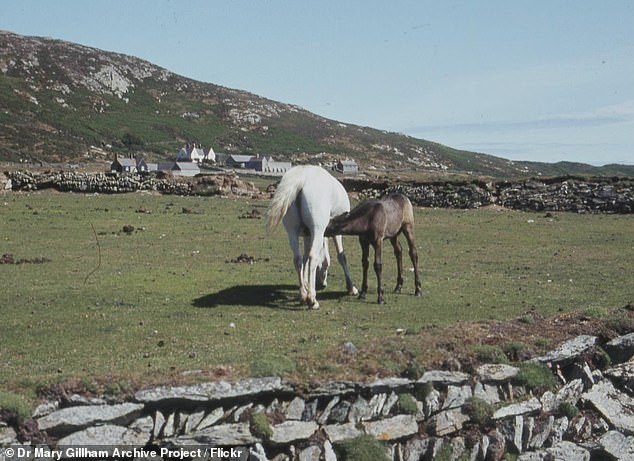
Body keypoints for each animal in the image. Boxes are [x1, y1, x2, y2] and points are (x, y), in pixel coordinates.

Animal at [264, 165, 358, 310]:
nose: (322, 283)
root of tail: (302, 177)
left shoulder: (308, 235)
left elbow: (305, 258)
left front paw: (307, 285)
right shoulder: (335, 232)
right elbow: (340, 256)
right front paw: (351, 287)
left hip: (292, 231)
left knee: (297, 260)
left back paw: (303, 295)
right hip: (317, 229)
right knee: (313, 257)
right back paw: (312, 300)